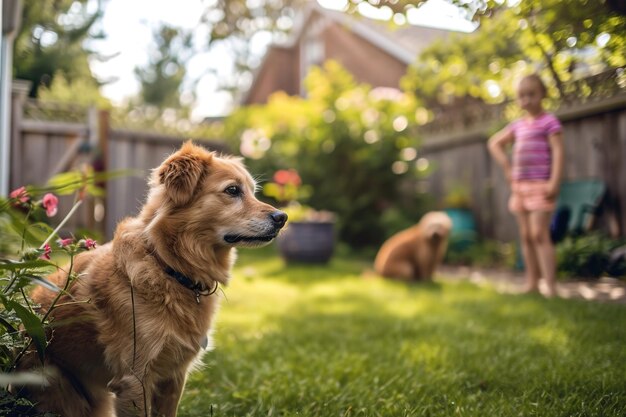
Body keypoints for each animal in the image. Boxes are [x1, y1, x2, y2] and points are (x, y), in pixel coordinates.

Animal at [16, 141, 286, 414]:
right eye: (232, 190)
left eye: (253, 192)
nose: (282, 218)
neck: (168, 266)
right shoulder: (135, 378)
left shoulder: (174, 375)